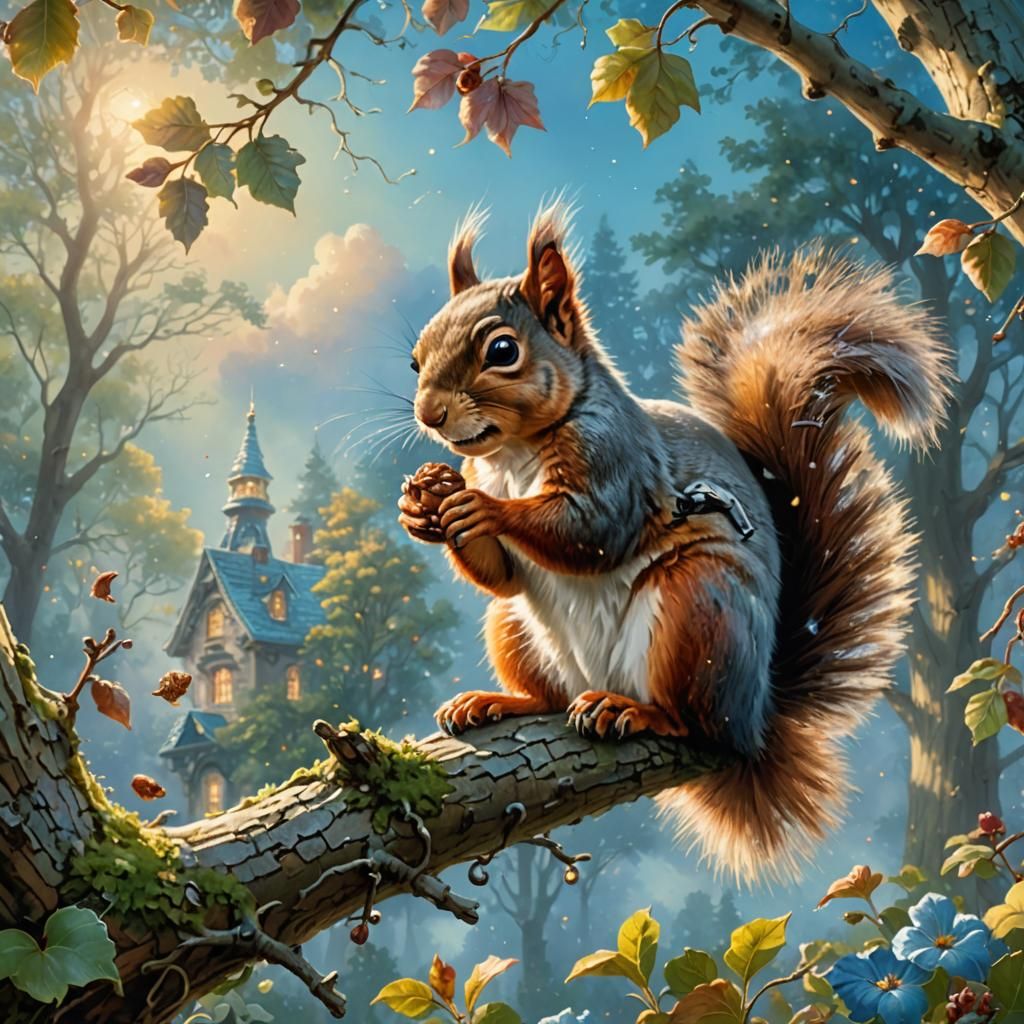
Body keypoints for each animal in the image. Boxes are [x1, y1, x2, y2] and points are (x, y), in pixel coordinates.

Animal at [396, 200, 953, 879]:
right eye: (416, 358)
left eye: (503, 350)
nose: (429, 415)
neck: (514, 453)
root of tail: (756, 716)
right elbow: (500, 574)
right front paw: (423, 507)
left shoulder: (619, 464)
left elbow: (590, 532)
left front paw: (482, 508)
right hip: (516, 630)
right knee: (549, 692)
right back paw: (498, 702)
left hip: (696, 611)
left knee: (695, 725)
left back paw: (633, 711)